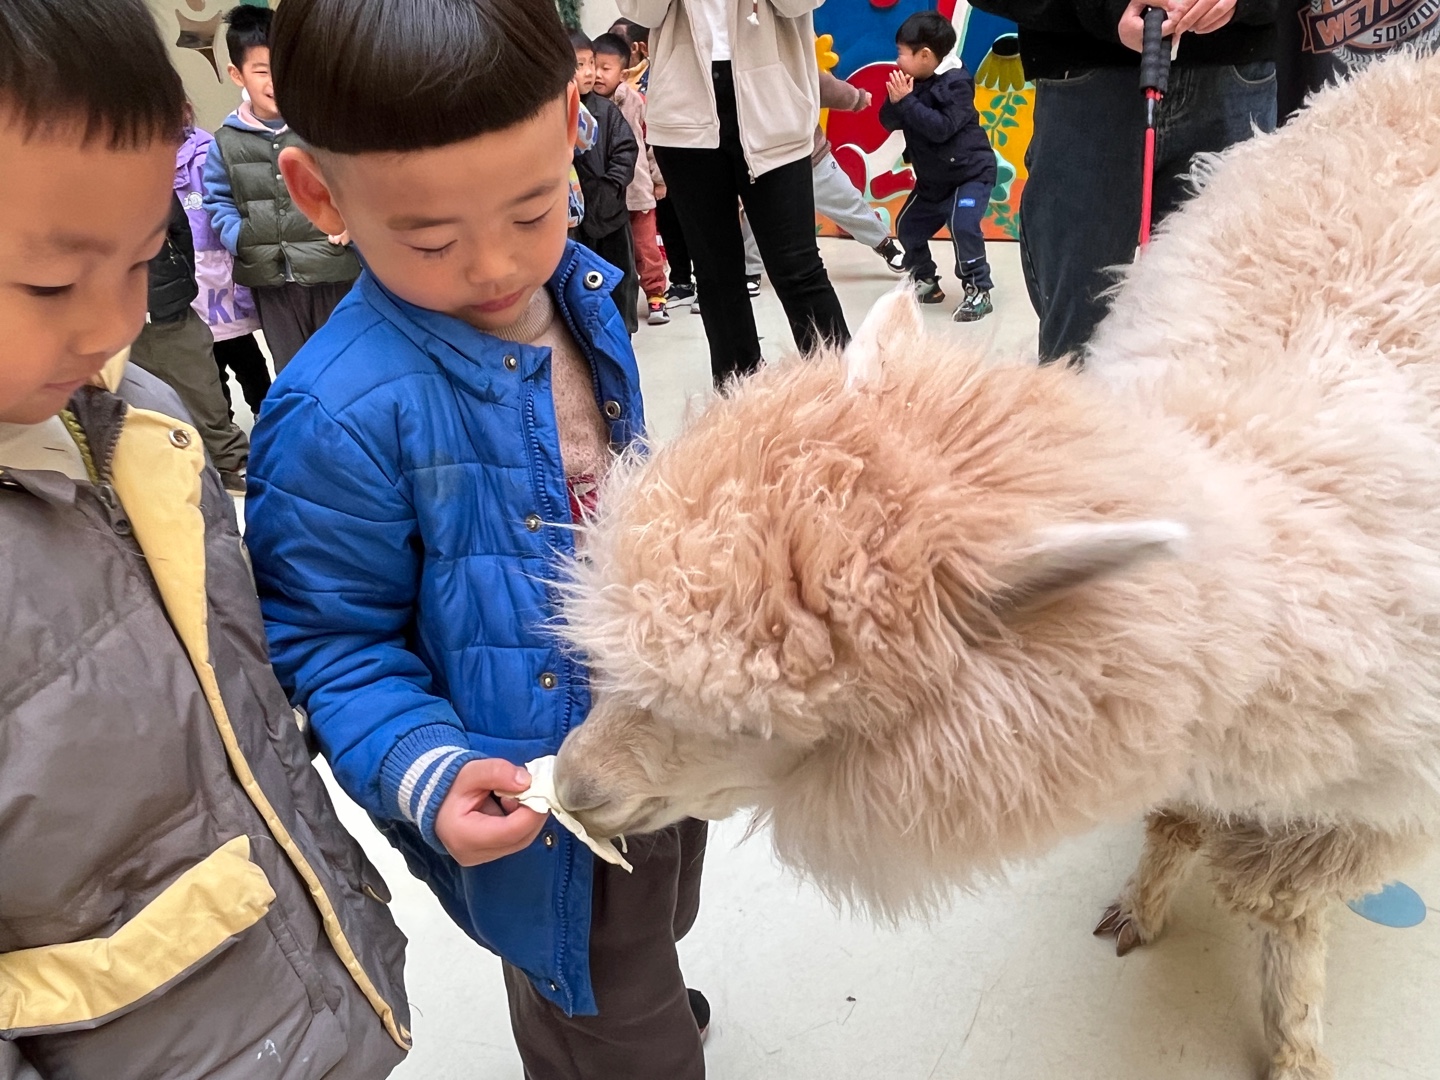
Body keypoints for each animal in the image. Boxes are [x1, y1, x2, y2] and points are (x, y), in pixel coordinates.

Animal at [552, 50, 1440, 1080]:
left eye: (761, 724)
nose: (575, 789)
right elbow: (1178, 824)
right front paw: (1140, 909)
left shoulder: (1364, 809)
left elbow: (1284, 911)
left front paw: (1295, 1047)